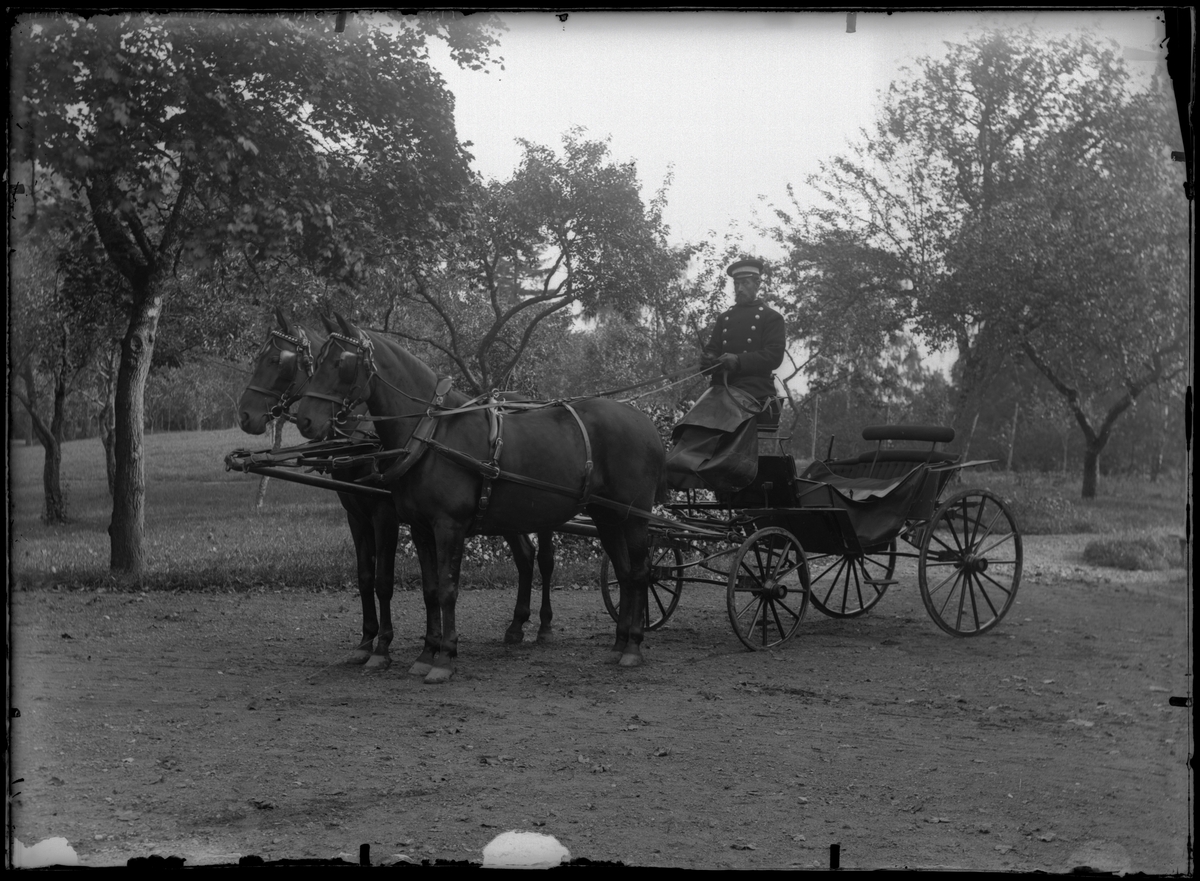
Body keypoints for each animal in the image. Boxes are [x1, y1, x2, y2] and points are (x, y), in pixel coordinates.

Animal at [238, 309, 561, 667]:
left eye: (276, 360)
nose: (245, 414)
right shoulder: (356, 516)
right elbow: (365, 577)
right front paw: (366, 641)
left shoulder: (385, 515)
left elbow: (384, 580)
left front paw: (383, 646)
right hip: (505, 511)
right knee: (525, 556)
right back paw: (517, 624)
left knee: (545, 558)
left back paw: (544, 625)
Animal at [290, 314, 667, 686]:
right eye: (316, 361)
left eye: (341, 363)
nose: (305, 419)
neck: (432, 435)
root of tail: (644, 421)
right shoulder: (420, 528)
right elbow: (429, 589)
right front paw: (425, 654)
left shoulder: (448, 526)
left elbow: (447, 588)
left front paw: (444, 656)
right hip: (607, 515)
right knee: (623, 571)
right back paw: (618, 643)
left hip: (634, 514)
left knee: (639, 571)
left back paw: (633, 645)